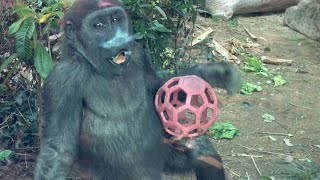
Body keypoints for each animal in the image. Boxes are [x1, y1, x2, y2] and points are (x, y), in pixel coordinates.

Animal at [33, 0, 241, 179]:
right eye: (98, 25)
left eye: (116, 20)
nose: (118, 38)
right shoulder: (63, 79)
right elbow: (59, 152)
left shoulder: (138, 53)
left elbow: (159, 91)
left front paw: (213, 74)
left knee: (201, 150)